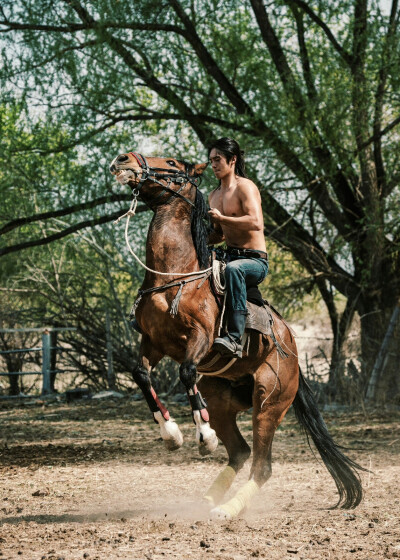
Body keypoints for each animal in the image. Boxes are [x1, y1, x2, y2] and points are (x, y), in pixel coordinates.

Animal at [108, 151, 364, 520]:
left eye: (171, 163)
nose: (123, 159)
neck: (174, 275)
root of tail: (293, 356)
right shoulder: (153, 343)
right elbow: (140, 374)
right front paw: (171, 434)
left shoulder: (198, 339)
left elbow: (187, 372)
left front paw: (204, 437)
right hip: (221, 399)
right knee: (240, 452)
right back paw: (208, 500)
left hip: (268, 403)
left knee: (262, 465)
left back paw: (227, 508)